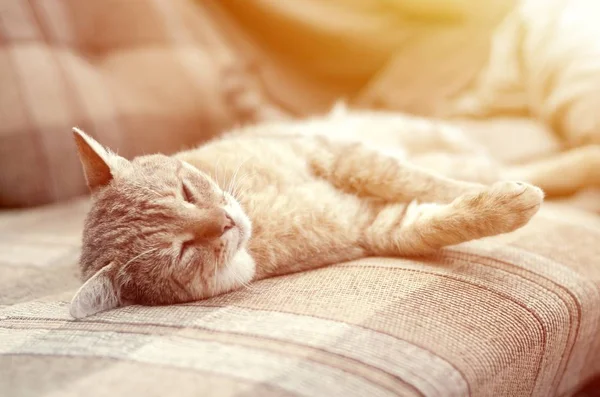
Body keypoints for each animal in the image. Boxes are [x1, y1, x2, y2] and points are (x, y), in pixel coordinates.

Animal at [68, 109, 548, 318]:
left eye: (186, 194)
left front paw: (488, 189)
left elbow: (421, 180)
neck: (262, 212)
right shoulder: (376, 227)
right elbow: (436, 219)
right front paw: (507, 203)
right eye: (183, 251)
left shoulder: (334, 153)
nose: (226, 222)